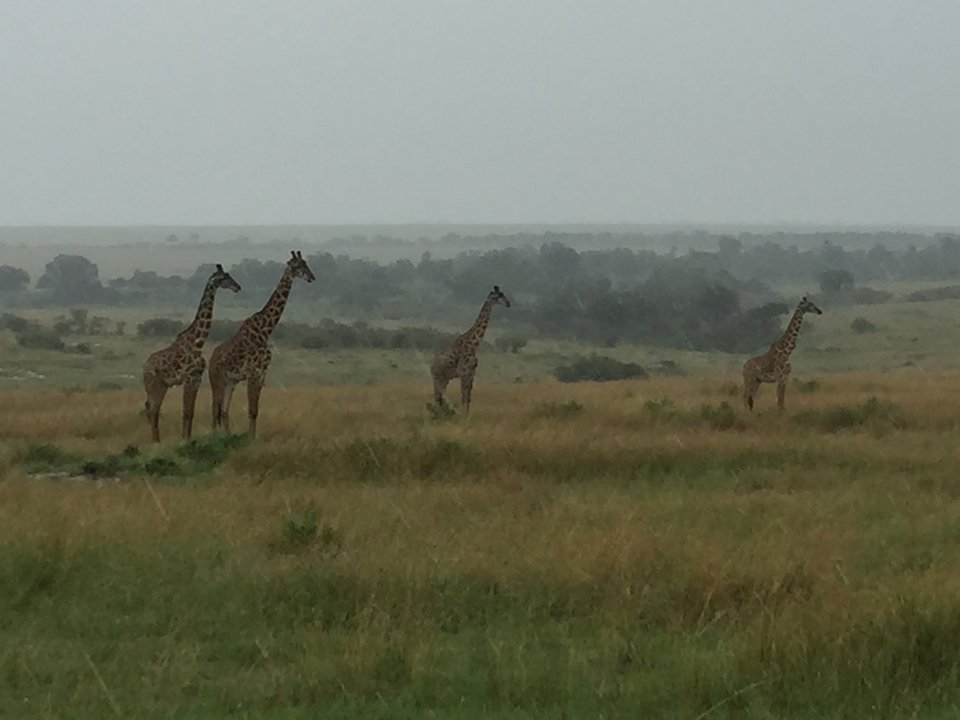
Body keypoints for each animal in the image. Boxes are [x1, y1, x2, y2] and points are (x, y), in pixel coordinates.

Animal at [142, 264, 241, 442]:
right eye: (224, 278)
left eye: (229, 275)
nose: (238, 287)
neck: (198, 341)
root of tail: (144, 368)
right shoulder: (188, 378)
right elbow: (186, 411)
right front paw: (184, 440)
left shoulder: (196, 378)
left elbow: (191, 412)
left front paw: (188, 437)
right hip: (155, 385)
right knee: (153, 410)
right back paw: (156, 442)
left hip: (161, 386)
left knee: (151, 409)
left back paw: (156, 439)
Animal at [208, 251, 315, 436]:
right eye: (298, 266)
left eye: (306, 263)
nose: (312, 277)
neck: (265, 329)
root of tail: (210, 360)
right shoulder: (253, 372)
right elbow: (251, 410)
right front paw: (250, 437)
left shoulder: (262, 373)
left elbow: (255, 411)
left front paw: (253, 435)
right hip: (217, 379)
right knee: (215, 408)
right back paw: (214, 436)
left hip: (231, 382)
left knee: (224, 410)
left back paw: (226, 435)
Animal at [429, 285, 511, 414]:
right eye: (499, 295)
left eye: (503, 294)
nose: (508, 303)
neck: (474, 344)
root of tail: (430, 364)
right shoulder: (464, 372)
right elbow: (463, 397)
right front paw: (463, 415)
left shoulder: (472, 372)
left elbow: (468, 398)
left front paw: (467, 415)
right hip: (437, 377)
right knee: (437, 396)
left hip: (445, 379)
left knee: (439, 397)